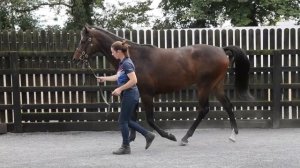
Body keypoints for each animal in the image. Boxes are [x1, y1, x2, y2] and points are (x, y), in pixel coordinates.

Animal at [72, 25, 253, 145]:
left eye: (84, 40)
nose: (75, 59)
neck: (135, 57)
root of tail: (222, 50)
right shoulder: (136, 92)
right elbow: (132, 116)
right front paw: (131, 138)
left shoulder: (147, 95)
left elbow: (150, 119)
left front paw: (168, 136)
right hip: (216, 85)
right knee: (228, 105)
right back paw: (233, 135)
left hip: (204, 86)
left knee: (204, 109)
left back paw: (185, 138)